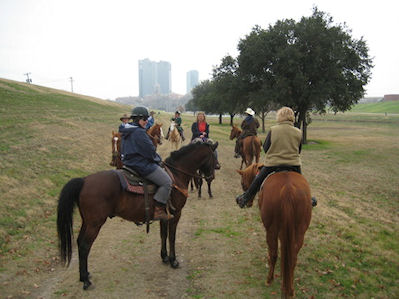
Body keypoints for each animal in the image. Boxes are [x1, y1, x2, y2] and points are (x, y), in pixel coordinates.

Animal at [57, 142, 219, 290]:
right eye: (213, 156)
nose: (212, 175)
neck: (176, 175)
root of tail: (84, 181)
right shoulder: (176, 214)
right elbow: (172, 237)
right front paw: (173, 260)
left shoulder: (164, 216)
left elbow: (163, 235)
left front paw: (164, 257)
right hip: (95, 224)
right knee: (85, 246)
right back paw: (85, 280)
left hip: (87, 222)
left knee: (79, 242)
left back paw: (84, 275)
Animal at [238, 165, 312, 298]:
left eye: (242, 183)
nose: (249, 203)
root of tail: (288, 189)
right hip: (299, 232)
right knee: (293, 258)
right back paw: (290, 290)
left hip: (271, 230)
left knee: (273, 254)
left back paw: (269, 279)